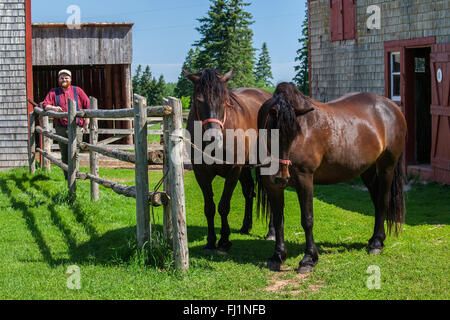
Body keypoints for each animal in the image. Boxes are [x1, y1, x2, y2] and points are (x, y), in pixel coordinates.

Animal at [184, 69, 274, 254]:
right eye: (198, 100)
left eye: (224, 101)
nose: (213, 137)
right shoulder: (201, 173)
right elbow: (209, 208)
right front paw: (211, 241)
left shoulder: (233, 170)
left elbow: (223, 206)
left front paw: (224, 240)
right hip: (246, 168)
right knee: (249, 191)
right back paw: (245, 227)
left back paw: (271, 232)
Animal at [256, 82, 408, 272]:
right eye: (271, 131)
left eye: (294, 133)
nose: (282, 177)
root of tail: (392, 107)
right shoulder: (272, 186)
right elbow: (278, 220)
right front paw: (277, 257)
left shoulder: (304, 180)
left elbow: (307, 220)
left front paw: (308, 259)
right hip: (368, 170)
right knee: (377, 202)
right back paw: (374, 240)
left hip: (387, 166)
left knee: (382, 201)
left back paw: (376, 245)